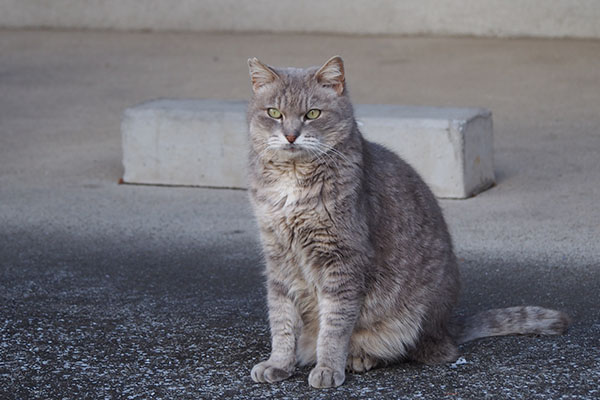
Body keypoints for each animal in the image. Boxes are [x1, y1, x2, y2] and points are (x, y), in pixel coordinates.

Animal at [245, 55, 572, 388]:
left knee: (416, 350)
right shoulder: (278, 257)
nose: (290, 135)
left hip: (412, 319)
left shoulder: (343, 259)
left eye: (312, 114)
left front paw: (327, 368)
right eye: (274, 113)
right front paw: (279, 363)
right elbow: (281, 319)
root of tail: (446, 326)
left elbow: (334, 326)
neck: (293, 179)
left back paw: (360, 357)